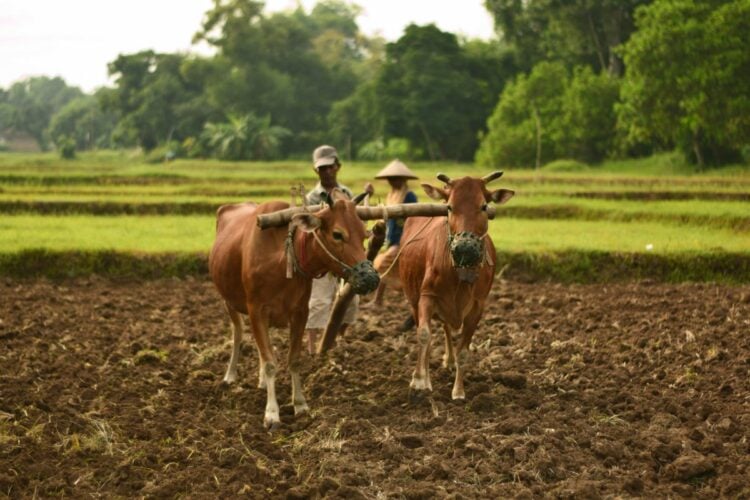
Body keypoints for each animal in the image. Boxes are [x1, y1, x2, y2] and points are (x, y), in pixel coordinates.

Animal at [209, 193, 378, 428]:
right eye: (337, 234)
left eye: (364, 234)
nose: (370, 278)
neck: (283, 256)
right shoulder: (257, 310)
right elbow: (270, 363)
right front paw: (272, 413)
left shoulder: (300, 313)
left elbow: (294, 359)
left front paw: (300, 404)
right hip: (228, 301)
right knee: (238, 334)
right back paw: (230, 375)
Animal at [400, 172, 516, 398]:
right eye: (450, 207)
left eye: (483, 206)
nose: (464, 247)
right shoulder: (427, 297)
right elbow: (424, 335)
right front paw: (419, 380)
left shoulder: (478, 307)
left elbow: (464, 351)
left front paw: (459, 391)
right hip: (413, 299)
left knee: (447, 328)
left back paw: (450, 360)